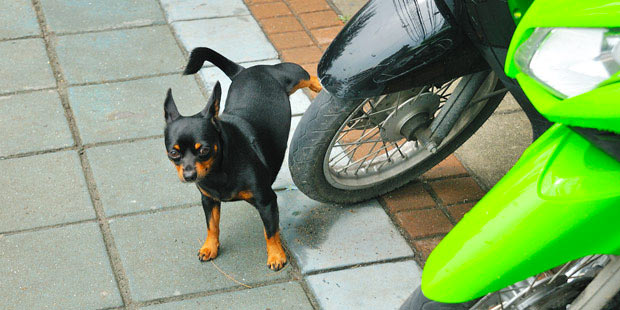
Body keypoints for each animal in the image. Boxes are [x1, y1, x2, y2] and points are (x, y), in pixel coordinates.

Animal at [162, 47, 322, 270]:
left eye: (204, 150)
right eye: (173, 153)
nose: (189, 175)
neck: (218, 171)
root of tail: (245, 70)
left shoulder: (266, 201)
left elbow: (270, 231)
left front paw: (276, 255)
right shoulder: (208, 200)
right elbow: (212, 225)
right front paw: (210, 247)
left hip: (291, 76)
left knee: (306, 76)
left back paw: (319, 84)